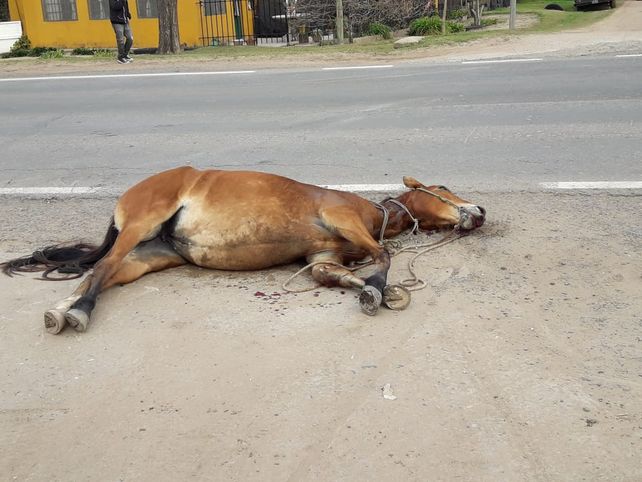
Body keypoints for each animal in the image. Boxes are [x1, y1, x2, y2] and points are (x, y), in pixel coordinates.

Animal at [1, 167, 486, 334]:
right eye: (443, 188)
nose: (480, 212)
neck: (374, 213)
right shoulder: (341, 217)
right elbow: (384, 257)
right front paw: (376, 288)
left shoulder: (320, 260)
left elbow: (331, 275)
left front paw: (375, 289)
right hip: (139, 225)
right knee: (102, 267)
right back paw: (78, 312)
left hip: (150, 255)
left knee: (101, 272)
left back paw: (62, 310)